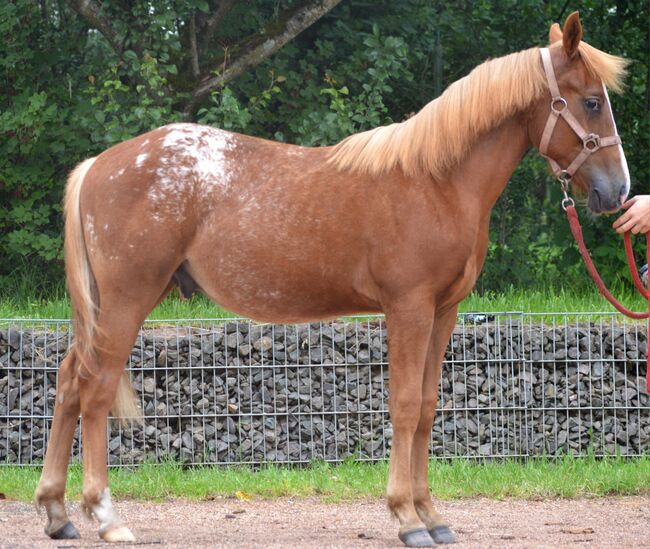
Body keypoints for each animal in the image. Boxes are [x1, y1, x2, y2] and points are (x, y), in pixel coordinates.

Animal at [36, 12, 628, 548]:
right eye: (591, 102)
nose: (618, 192)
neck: (436, 181)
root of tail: (99, 164)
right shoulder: (408, 308)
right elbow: (405, 405)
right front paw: (406, 518)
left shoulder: (444, 311)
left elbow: (427, 407)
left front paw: (432, 515)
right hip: (126, 301)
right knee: (95, 390)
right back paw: (106, 516)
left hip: (113, 306)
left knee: (68, 383)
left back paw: (57, 513)